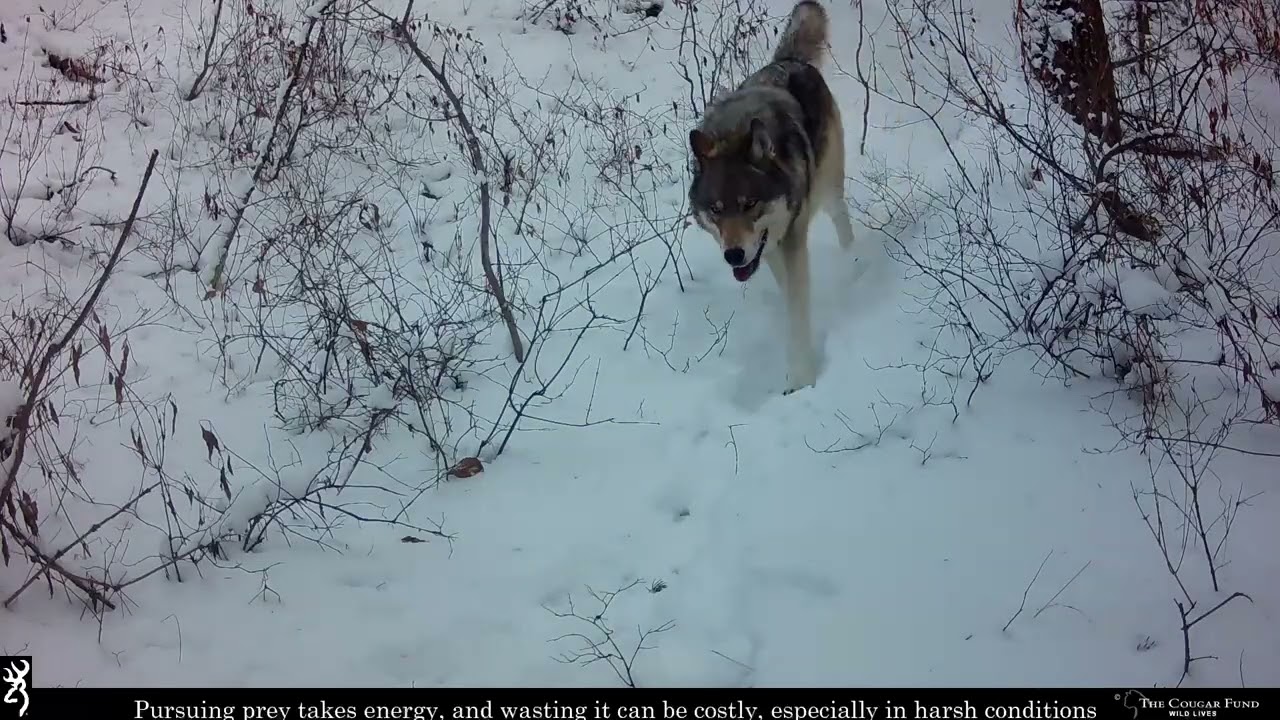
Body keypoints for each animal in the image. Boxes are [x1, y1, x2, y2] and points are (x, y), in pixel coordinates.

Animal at [687, 0, 856, 394]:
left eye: (749, 204)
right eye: (716, 210)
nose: (733, 255)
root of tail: (788, 60)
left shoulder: (791, 243)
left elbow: (797, 312)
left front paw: (802, 380)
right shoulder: (771, 251)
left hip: (828, 187)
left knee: (841, 217)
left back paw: (853, 264)